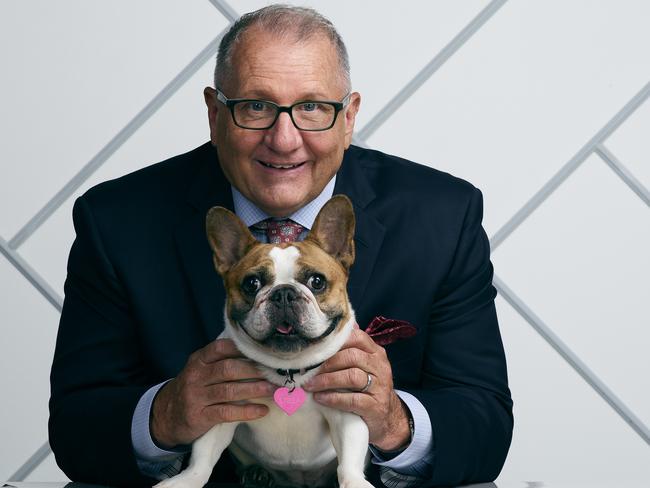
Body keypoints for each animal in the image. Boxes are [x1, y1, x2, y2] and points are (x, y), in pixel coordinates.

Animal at [154, 195, 372, 488]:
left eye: (316, 281)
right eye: (252, 283)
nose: (284, 293)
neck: (289, 370)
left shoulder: (345, 410)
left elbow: (349, 459)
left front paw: (356, 483)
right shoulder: (221, 409)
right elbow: (203, 457)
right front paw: (185, 481)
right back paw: (255, 473)